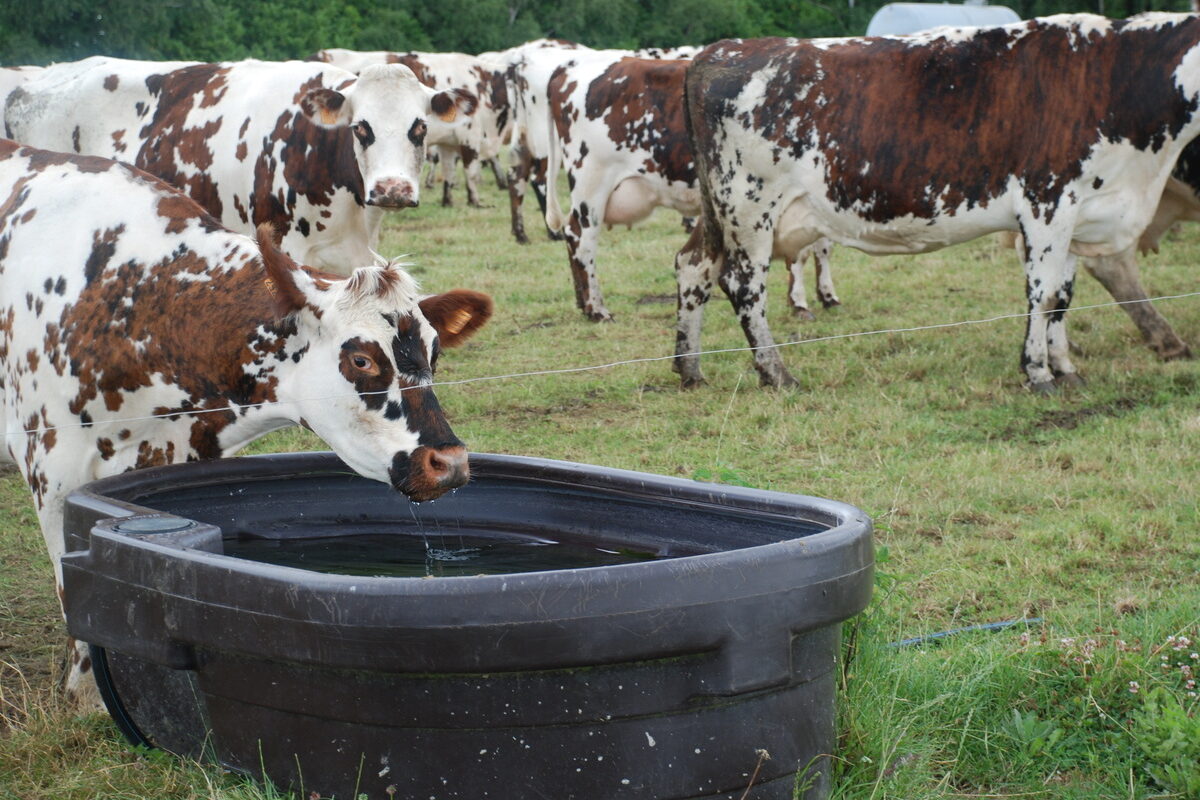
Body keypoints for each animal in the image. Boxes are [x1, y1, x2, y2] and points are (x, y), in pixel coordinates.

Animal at [307, 48, 508, 208]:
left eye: (422, 126)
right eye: (358, 128)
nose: (392, 191)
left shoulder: (450, 142)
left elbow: (450, 170)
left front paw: (449, 201)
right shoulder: (470, 137)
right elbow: (472, 170)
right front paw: (475, 201)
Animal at [540, 53, 840, 323]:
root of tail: (571, 66)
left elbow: (822, 246)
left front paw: (826, 296)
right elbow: (803, 251)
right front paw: (799, 303)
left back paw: (583, 303)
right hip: (592, 180)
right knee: (581, 236)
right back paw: (596, 309)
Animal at [681, 14, 1200, 391]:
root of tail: (721, 50)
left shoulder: (1081, 213)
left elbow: (1062, 297)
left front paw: (1066, 369)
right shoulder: (1047, 202)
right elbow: (1042, 293)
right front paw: (1038, 372)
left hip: (719, 209)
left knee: (693, 264)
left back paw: (689, 368)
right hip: (750, 206)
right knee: (742, 284)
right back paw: (776, 374)